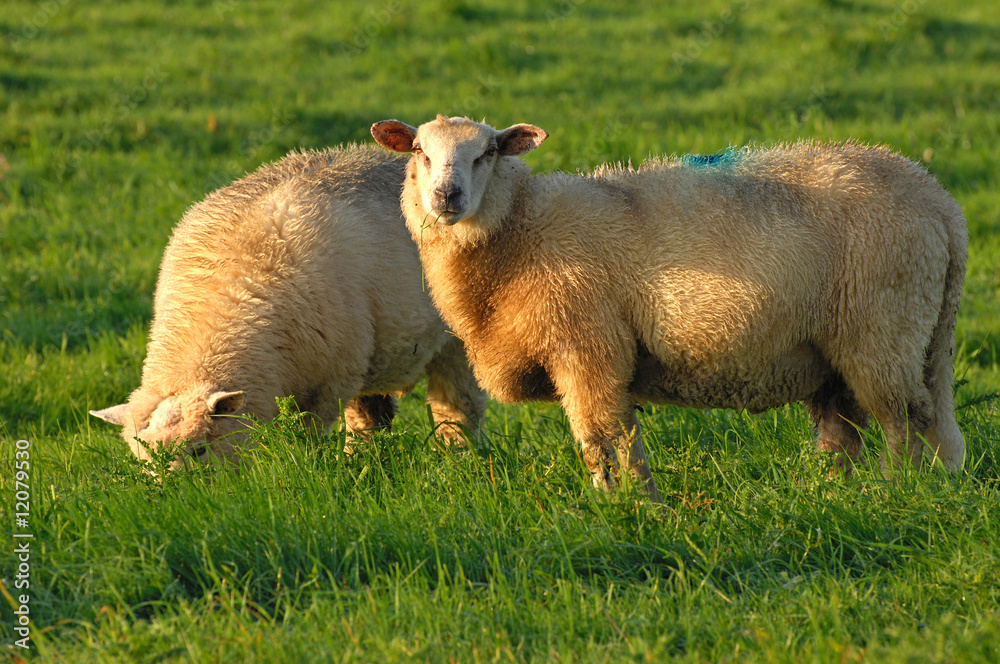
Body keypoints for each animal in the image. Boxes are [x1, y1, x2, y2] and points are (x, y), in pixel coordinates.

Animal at [91, 144, 486, 470]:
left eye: (200, 449)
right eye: (143, 458)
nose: (168, 496)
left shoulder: (325, 385)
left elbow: (305, 439)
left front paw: (306, 467)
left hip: (457, 340)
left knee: (456, 406)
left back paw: (456, 456)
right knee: (375, 414)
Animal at [371, 115, 967, 501]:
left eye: (488, 153)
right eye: (420, 152)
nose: (447, 196)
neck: (520, 231)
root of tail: (938, 201)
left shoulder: (588, 347)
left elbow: (601, 438)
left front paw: (624, 506)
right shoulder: (596, 357)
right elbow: (616, 436)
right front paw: (634, 502)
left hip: (882, 330)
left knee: (904, 419)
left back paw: (896, 491)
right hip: (867, 346)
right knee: (854, 430)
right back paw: (844, 495)